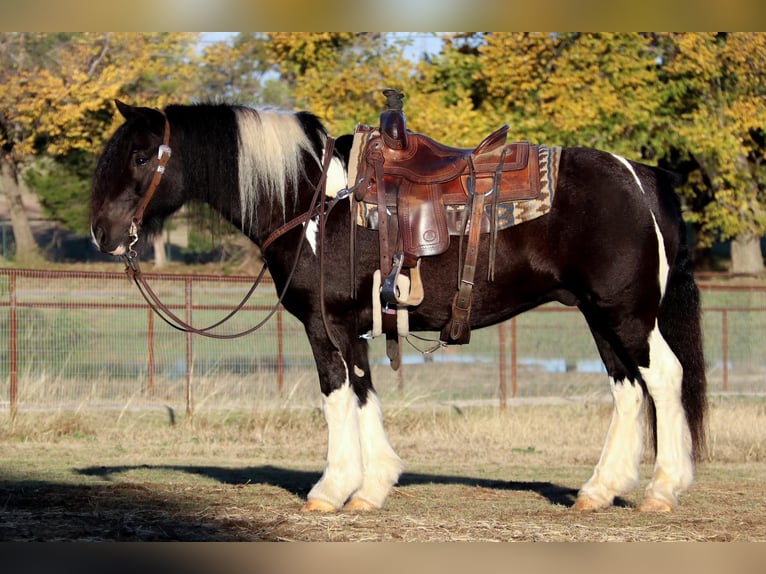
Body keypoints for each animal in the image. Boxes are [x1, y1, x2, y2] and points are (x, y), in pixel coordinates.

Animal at [88, 101, 708, 516]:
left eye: (140, 156)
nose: (102, 233)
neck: (312, 202)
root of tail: (641, 175)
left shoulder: (326, 326)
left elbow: (337, 394)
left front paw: (332, 489)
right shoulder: (354, 327)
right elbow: (364, 393)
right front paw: (373, 486)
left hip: (627, 314)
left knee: (664, 377)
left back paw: (663, 488)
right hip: (600, 316)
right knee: (627, 390)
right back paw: (599, 491)